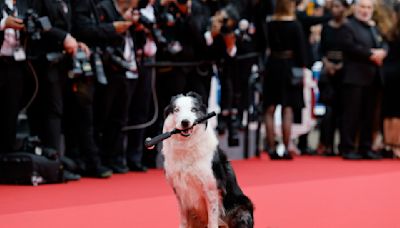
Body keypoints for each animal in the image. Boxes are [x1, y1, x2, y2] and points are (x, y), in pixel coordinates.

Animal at [162, 92, 253, 228]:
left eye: (193, 109)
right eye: (176, 110)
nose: (185, 122)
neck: (187, 146)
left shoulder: (211, 189)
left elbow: (212, 220)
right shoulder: (180, 191)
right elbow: (183, 220)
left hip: (242, 207)